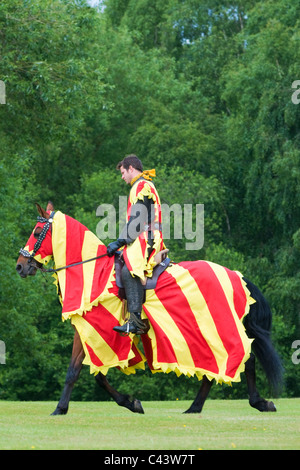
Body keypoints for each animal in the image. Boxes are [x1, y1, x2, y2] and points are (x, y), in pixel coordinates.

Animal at [15, 202, 284, 414]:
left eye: (37, 231)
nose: (20, 266)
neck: (92, 272)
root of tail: (237, 275)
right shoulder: (85, 332)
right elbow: (82, 372)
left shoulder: (98, 331)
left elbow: (90, 374)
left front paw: (125, 403)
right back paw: (195, 407)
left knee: (244, 359)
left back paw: (258, 403)